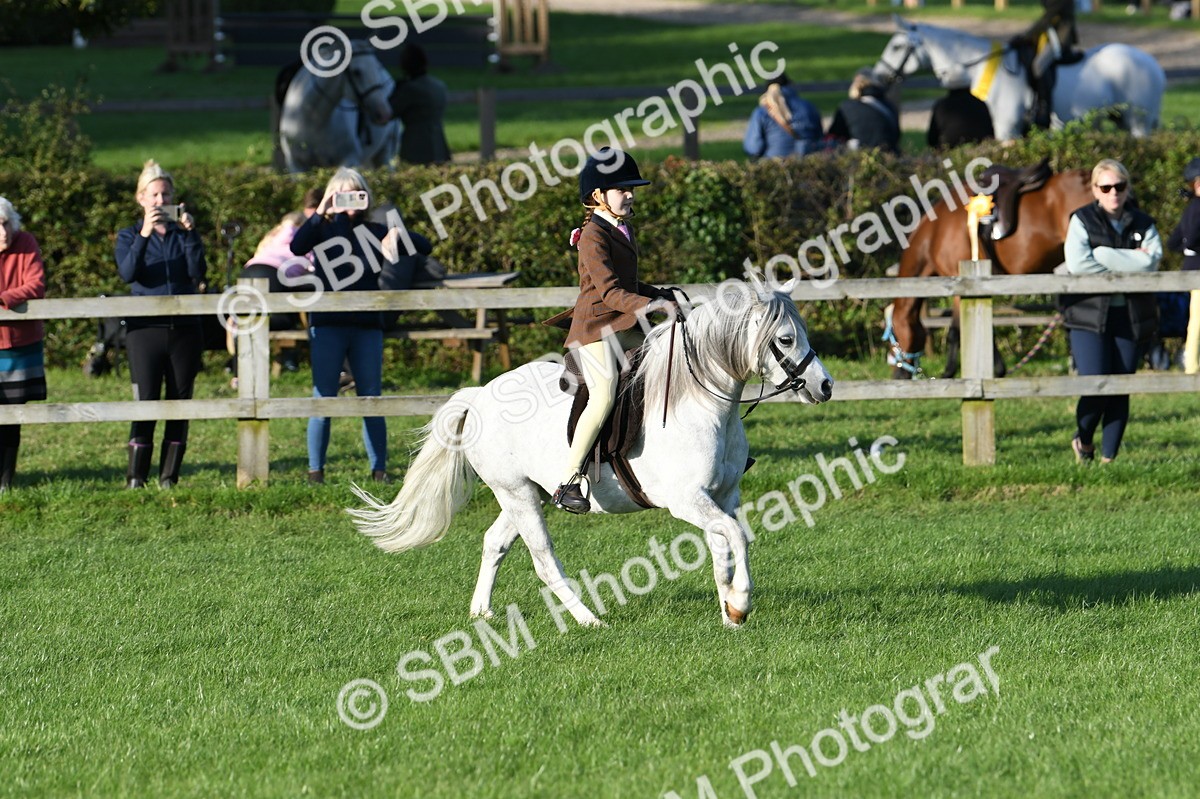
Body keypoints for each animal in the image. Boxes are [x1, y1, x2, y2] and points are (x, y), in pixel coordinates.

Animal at [277, 39, 400, 173]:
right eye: (356, 72)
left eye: (377, 67)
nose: (384, 113)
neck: (312, 119)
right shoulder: (296, 165)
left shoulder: (350, 160)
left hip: (386, 152)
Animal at [348, 278, 834, 628]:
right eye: (785, 340)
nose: (825, 385)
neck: (702, 403)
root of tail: (480, 395)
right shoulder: (687, 500)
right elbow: (734, 536)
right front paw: (740, 603)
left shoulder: (723, 496)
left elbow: (728, 543)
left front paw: (729, 611)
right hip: (517, 494)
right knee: (544, 562)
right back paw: (588, 619)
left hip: (527, 493)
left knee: (495, 542)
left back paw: (481, 611)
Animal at [873, 18, 1165, 141]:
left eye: (897, 46)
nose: (879, 75)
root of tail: (1154, 65)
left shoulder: (1008, 127)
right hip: (1123, 121)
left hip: (1139, 124)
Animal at [886, 168, 1093, 379]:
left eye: (893, 337)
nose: (897, 374)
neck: (935, 233)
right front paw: (998, 369)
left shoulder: (961, 286)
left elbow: (955, 332)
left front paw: (949, 372)